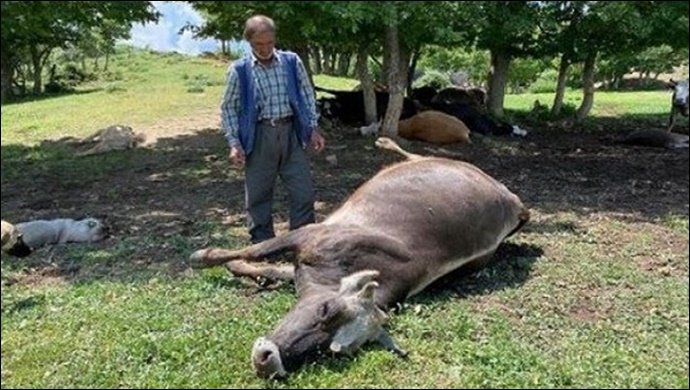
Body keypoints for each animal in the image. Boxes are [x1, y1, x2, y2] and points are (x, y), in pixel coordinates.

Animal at [188, 136, 528, 378]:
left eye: (333, 351)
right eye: (326, 309)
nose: (268, 361)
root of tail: (513, 201)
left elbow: (267, 261)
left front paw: (235, 265)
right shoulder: (310, 234)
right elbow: (258, 250)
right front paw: (204, 256)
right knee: (418, 156)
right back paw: (385, 141)